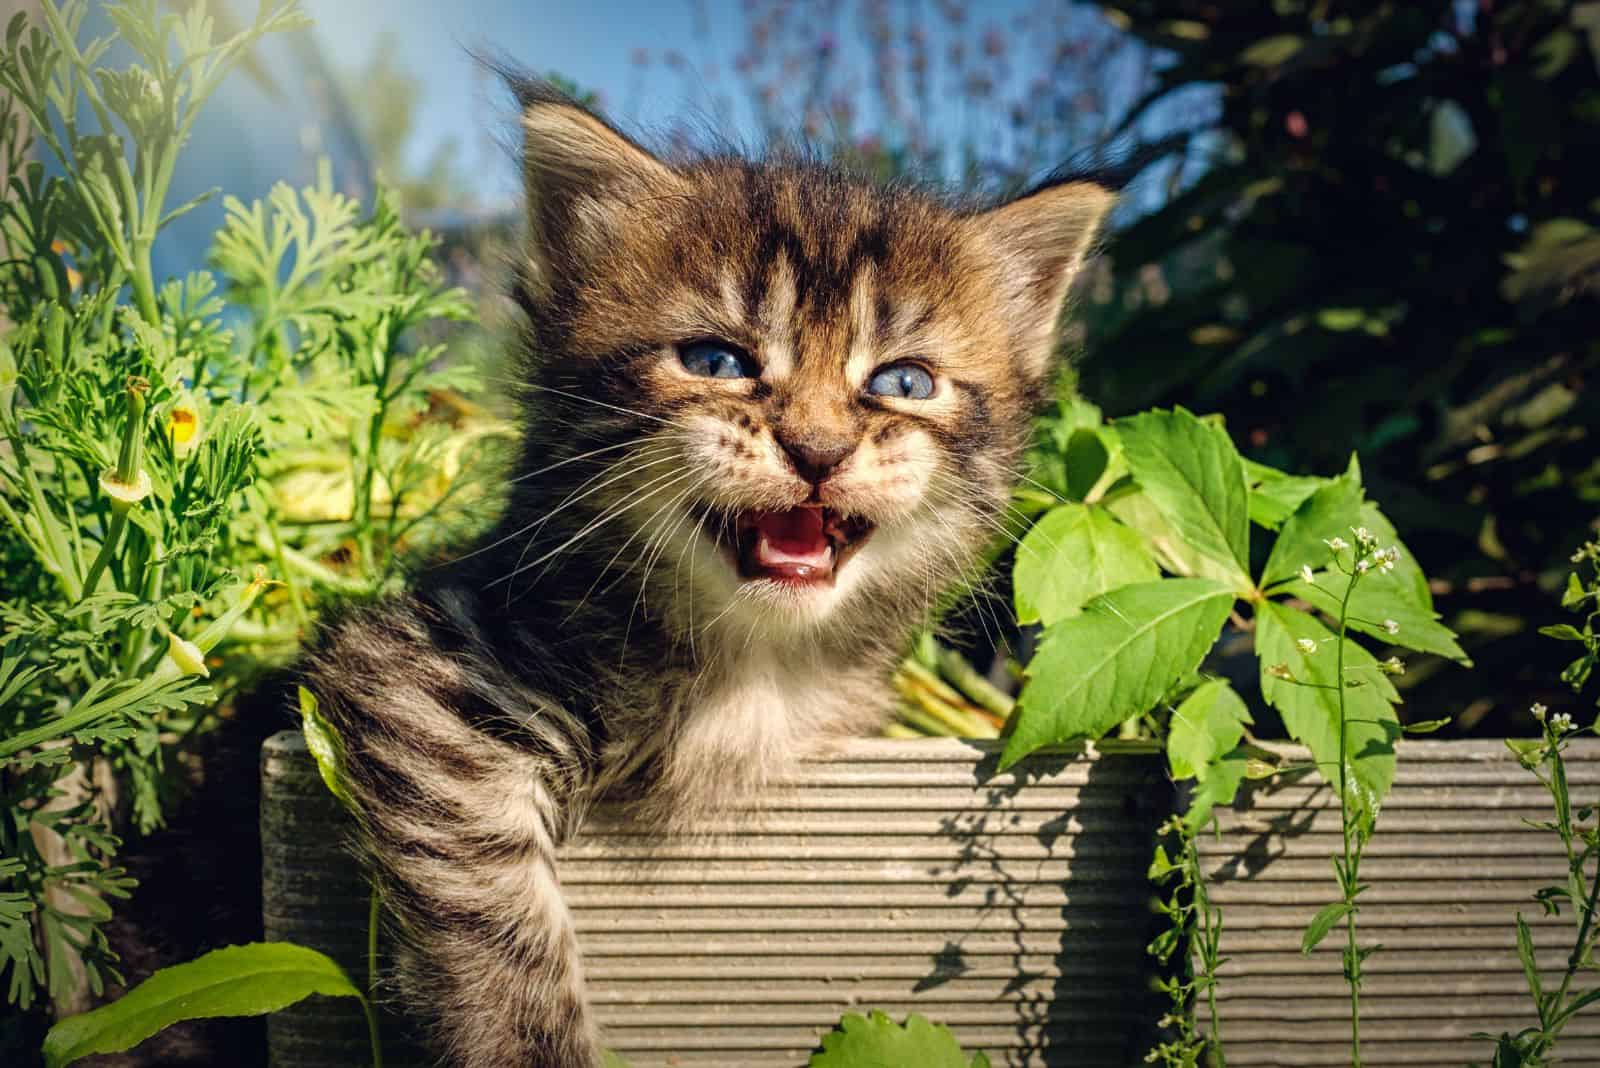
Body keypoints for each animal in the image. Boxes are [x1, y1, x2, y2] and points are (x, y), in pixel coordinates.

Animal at [300, 77, 1107, 1068]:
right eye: (716, 361)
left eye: (904, 383)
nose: (817, 449)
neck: (757, 666)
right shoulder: (421, 665)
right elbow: (487, 876)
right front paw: (524, 1042)